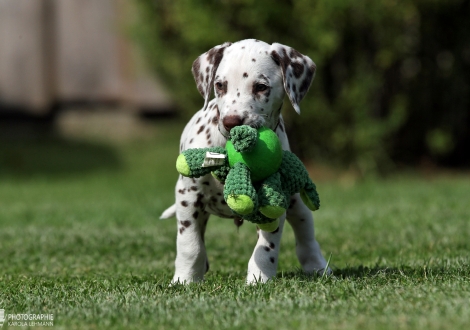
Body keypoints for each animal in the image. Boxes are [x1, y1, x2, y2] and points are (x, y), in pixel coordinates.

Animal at [162, 39, 330, 284]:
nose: (232, 122)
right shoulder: (188, 194)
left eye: (261, 87)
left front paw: (259, 277)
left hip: (297, 204)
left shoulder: (275, 200)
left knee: (306, 237)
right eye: (220, 85)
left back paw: (317, 266)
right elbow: (189, 245)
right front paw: (184, 279)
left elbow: (266, 247)